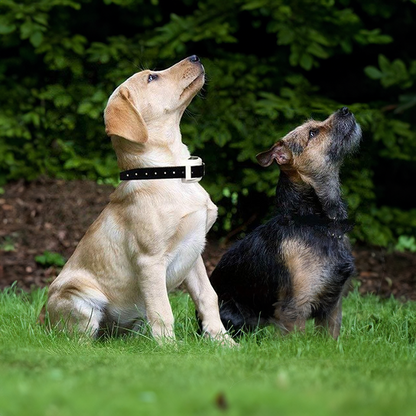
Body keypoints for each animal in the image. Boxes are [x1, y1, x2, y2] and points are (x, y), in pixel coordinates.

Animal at [48, 53, 232, 342]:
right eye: (151, 77)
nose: (195, 56)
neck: (169, 172)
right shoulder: (150, 260)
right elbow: (163, 310)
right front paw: (170, 348)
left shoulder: (194, 250)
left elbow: (208, 297)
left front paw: (223, 341)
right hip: (80, 298)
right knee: (79, 339)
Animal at [208, 108, 360, 342]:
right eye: (313, 133)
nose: (345, 110)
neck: (315, 222)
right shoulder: (295, 307)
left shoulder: (333, 306)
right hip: (238, 316)